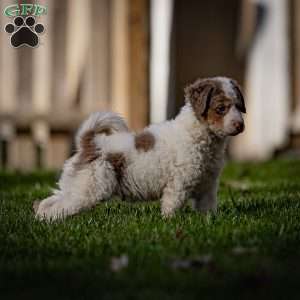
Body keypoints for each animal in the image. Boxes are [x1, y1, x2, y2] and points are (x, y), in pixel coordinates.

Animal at [34, 77, 246, 220]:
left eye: (238, 106)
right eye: (221, 108)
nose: (240, 125)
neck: (202, 137)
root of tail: (89, 142)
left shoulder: (208, 185)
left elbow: (207, 207)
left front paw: (209, 221)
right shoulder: (179, 184)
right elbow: (172, 205)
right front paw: (169, 222)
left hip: (77, 185)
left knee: (49, 201)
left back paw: (41, 217)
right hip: (90, 188)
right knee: (60, 206)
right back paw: (50, 220)